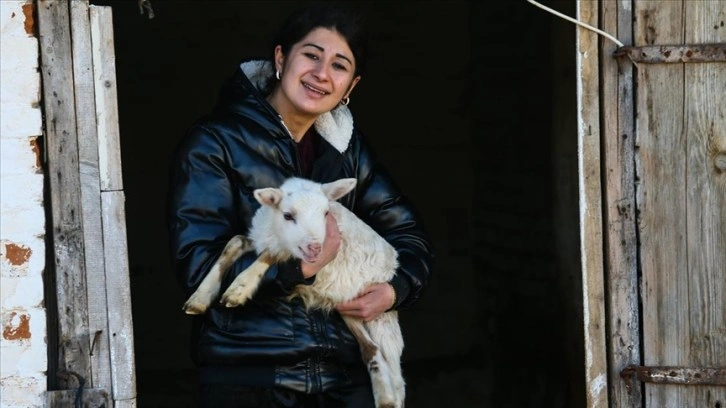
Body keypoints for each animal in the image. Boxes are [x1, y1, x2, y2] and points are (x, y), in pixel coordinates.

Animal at [182, 177, 405, 408]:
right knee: (372, 350)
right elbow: (233, 242)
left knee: (392, 369)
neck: (275, 232)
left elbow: (270, 254)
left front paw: (239, 288)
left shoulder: (288, 250)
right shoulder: (262, 238)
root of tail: (392, 264)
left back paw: (390, 398)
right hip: (348, 307)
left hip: (379, 316)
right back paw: (386, 398)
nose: (316, 248)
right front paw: (201, 296)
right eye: (288, 215)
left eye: (326, 213)